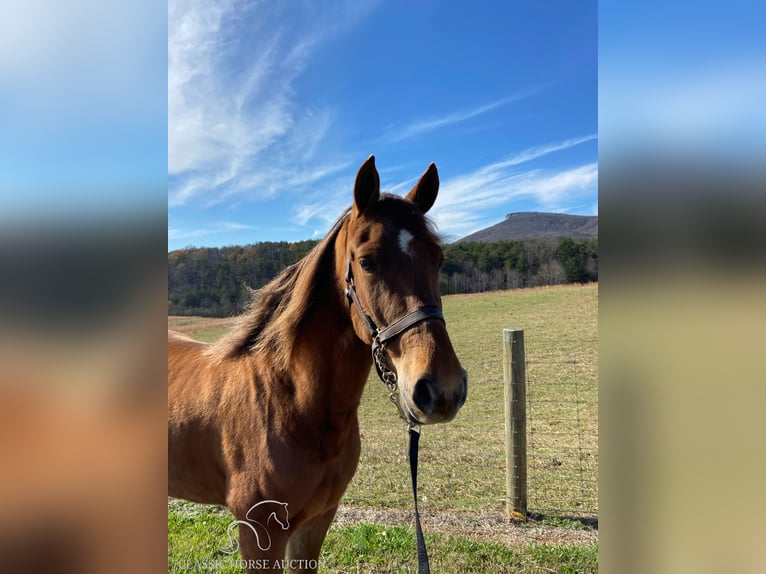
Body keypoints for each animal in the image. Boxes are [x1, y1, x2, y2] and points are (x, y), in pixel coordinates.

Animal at [169, 155, 468, 572]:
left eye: (438, 259)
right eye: (367, 262)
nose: (441, 390)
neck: (291, 403)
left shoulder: (316, 522)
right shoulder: (258, 534)